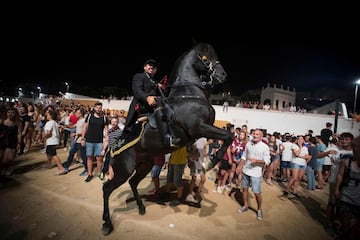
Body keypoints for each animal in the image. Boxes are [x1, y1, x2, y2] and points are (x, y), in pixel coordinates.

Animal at [101, 42, 233, 235]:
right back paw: (107, 223)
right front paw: (211, 162)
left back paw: (141, 207)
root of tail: (112, 147)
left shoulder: (201, 131)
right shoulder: (200, 127)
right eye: (205, 57)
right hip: (123, 170)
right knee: (107, 189)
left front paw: (205, 163)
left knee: (133, 182)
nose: (223, 75)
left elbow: (225, 137)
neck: (188, 94)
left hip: (145, 165)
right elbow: (229, 136)